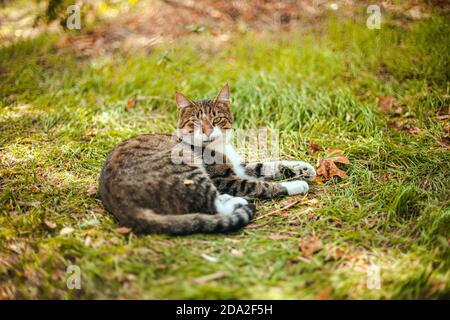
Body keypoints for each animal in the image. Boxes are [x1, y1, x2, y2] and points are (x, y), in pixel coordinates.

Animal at [98, 85, 316, 235]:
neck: (220, 146)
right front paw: (296, 184)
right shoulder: (226, 179)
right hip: (185, 168)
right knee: (211, 205)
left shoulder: (240, 167)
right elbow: (261, 185)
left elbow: (268, 165)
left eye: (216, 119)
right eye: (195, 122)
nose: (208, 131)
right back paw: (237, 202)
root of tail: (122, 206)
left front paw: (302, 168)